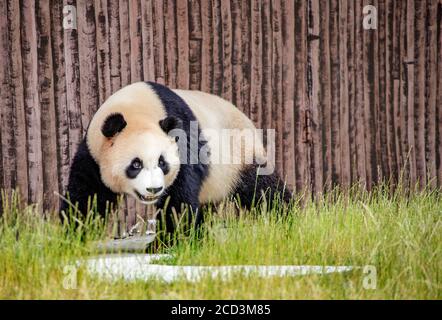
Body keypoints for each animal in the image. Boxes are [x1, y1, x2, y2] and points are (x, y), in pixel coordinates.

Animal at [60, 82, 292, 231]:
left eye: (162, 162)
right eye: (136, 164)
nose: (153, 189)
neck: (136, 109)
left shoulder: (183, 141)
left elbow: (178, 200)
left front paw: (169, 242)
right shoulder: (93, 154)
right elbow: (87, 196)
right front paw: (73, 235)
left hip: (239, 153)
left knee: (262, 190)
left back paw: (288, 219)